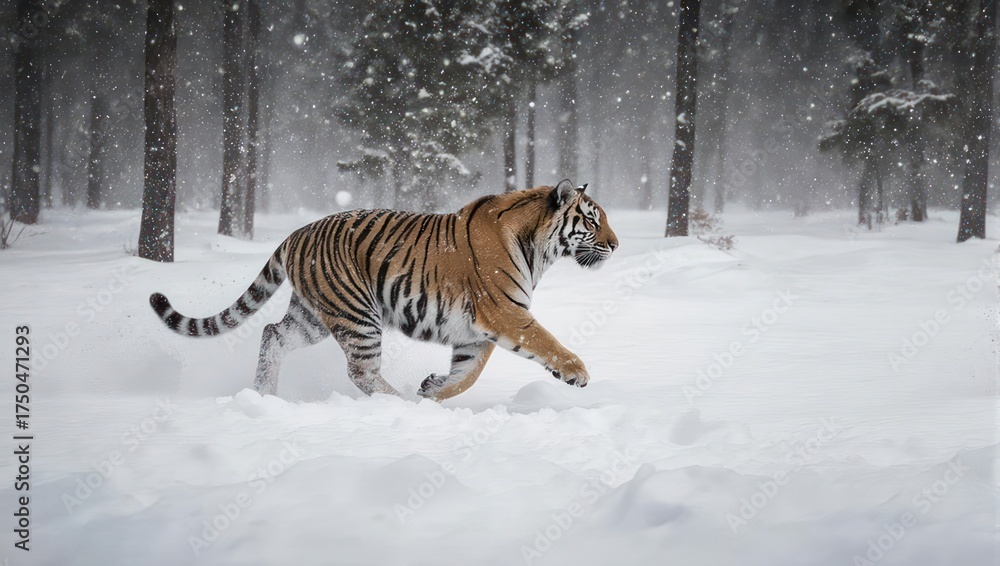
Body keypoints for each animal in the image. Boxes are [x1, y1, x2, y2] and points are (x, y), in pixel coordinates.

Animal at [150, 180, 618, 401]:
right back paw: (397, 404)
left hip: (313, 315)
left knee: (272, 335)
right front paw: (577, 372)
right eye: (593, 221)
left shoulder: (475, 332)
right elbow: (548, 341)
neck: (539, 247)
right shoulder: (505, 312)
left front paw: (432, 390)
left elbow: (467, 375)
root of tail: (296, 233)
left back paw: (265, 393)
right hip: (357, 314)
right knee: (361, 372)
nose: (616, 245)